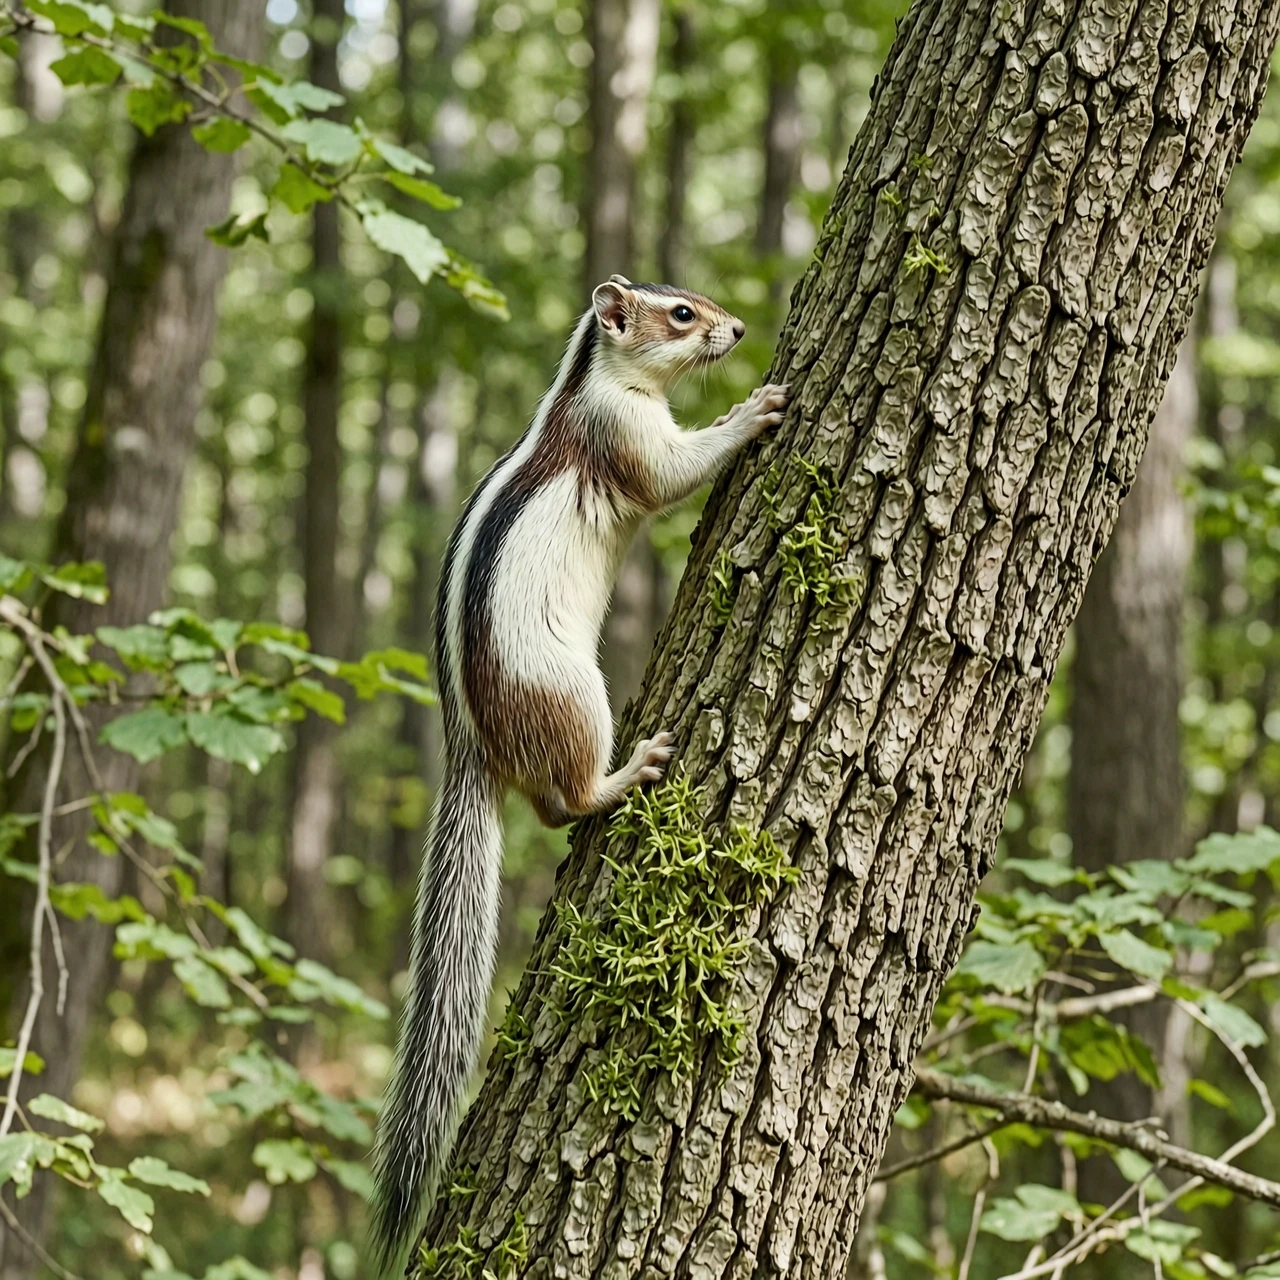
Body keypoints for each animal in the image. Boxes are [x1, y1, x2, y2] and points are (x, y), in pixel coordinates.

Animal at [369, 274, 789, 1268]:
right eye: (680, 313)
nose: (739, 329)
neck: (591, 381)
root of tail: (471, 749)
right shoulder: (623, 435)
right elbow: (672, 473)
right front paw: (751, 412)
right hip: (569, 695)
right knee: (563, 804)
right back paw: (627, 770)